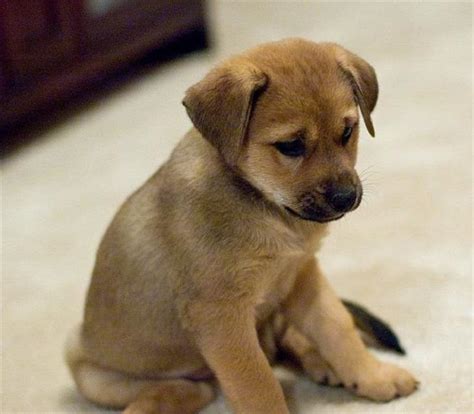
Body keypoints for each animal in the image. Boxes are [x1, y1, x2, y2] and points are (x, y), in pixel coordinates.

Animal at [65, 38, 416, 414]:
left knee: (290, 341)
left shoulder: (301, 276)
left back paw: (320, 363)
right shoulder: (220, 315)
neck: (268, 209)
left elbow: (337, 327)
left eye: (348, 131)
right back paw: (156, 402)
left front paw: (374, 376)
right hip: (88, 367)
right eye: (290, 145)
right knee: (183, 388)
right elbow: (257, 383)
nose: (346, 198)